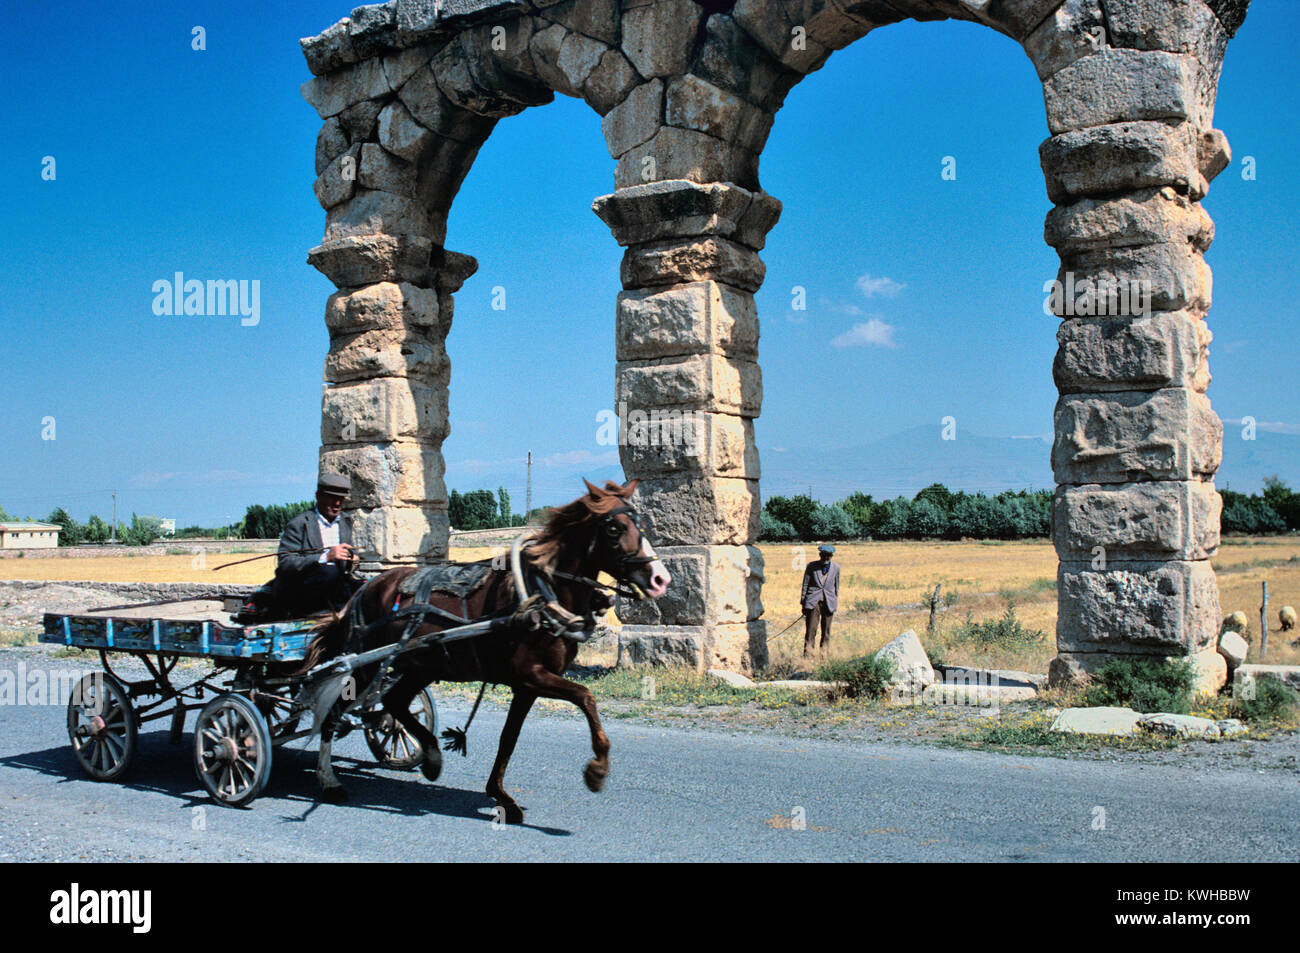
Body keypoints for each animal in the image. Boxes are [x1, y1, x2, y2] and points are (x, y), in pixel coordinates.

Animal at [296, 478, 670, 821]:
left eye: (640, 523)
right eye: (614, 528)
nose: (660, 579)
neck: (540, 594)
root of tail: (367, 587)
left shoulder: (527, 685)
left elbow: (509, 738)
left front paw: (501, 795)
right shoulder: (531, 674)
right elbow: (586, 697)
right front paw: (596, 771)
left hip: (420, 665)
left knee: (395, 702)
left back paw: (431, 757)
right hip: (364, 665)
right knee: (334, 713)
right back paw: (329, 781)